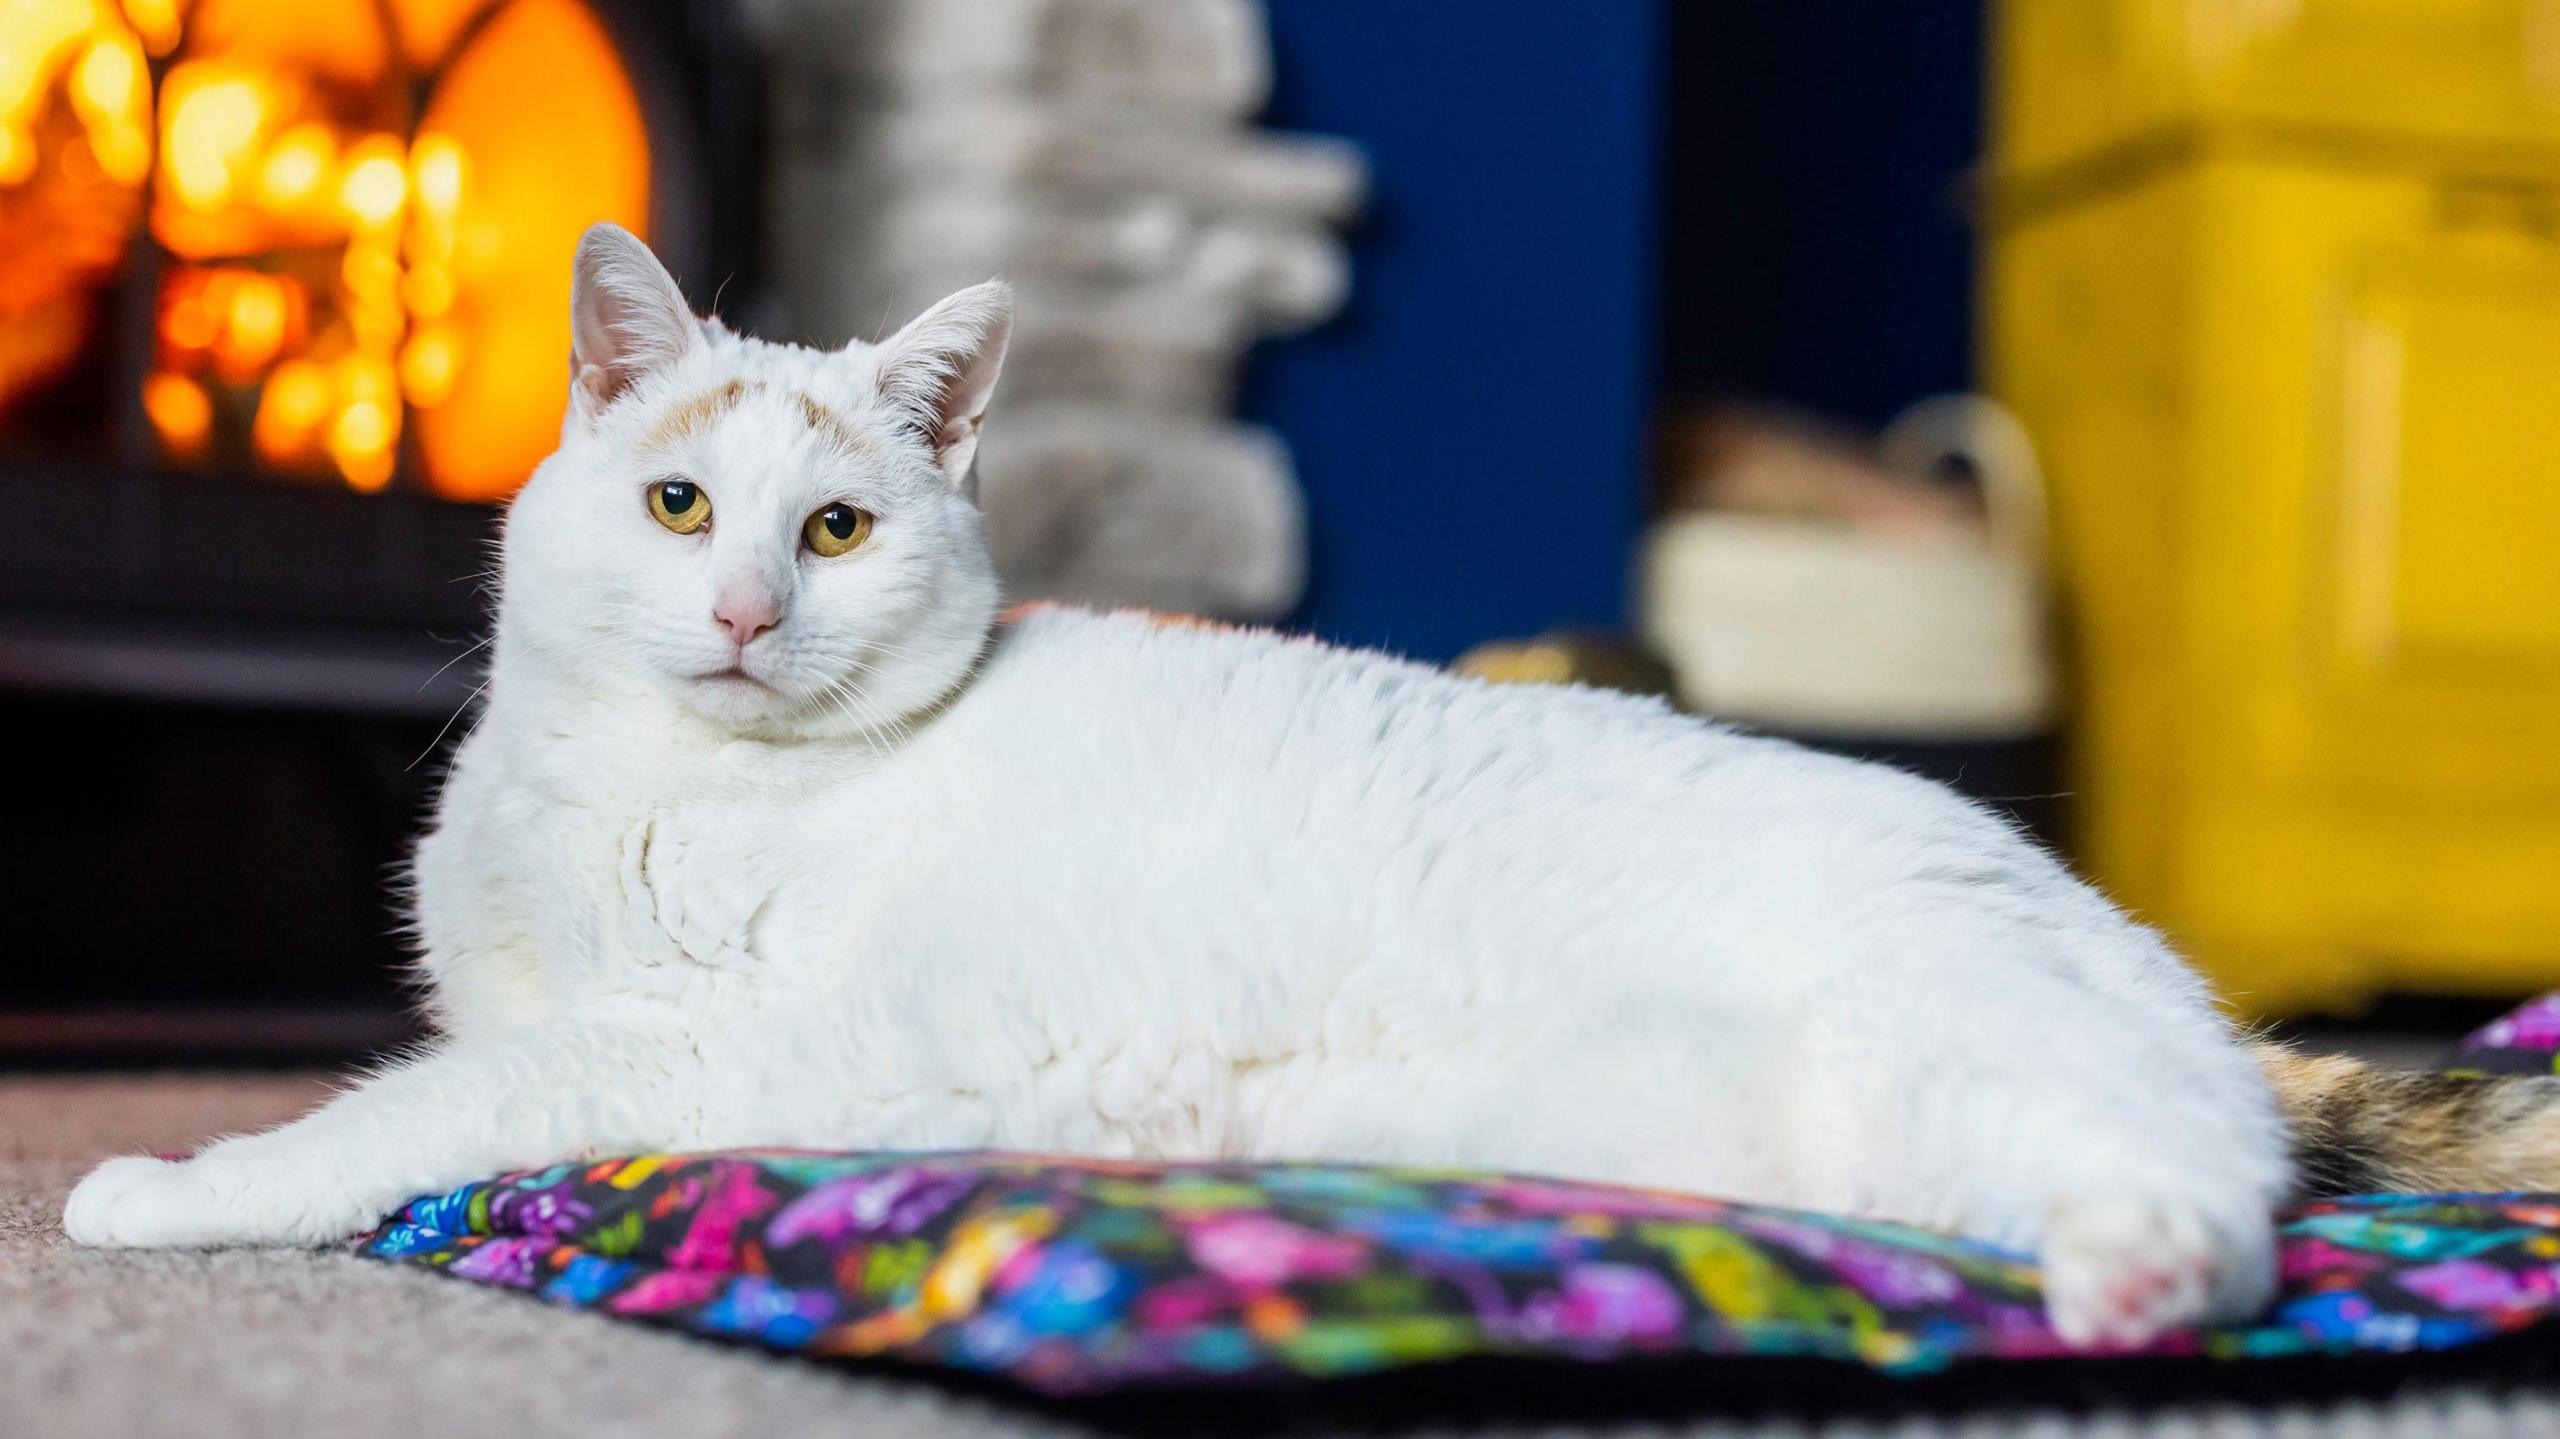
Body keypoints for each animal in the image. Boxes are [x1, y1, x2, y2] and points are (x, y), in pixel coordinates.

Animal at [60, 218, 2560, 1341]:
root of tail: (2168, 965)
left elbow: (383, 1115)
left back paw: (2136, 1283)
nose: (752, 608)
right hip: (1844, 1132)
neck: (640, 775)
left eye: (837, 527)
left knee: (2214, 1203)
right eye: (681, 508)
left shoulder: (669, 1044)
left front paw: (156, 1184)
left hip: (1964, 1043)